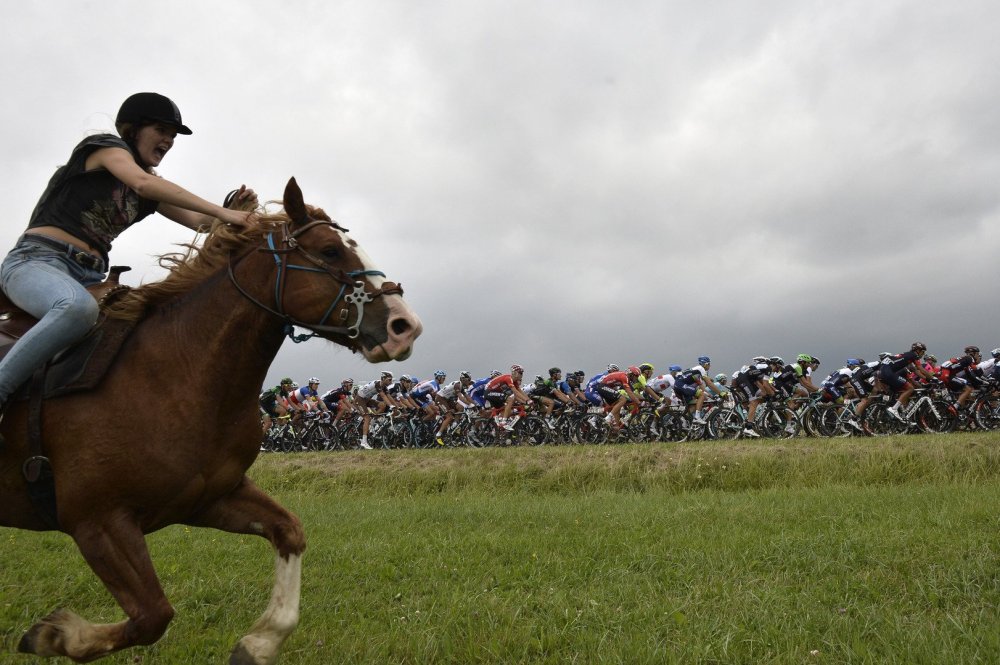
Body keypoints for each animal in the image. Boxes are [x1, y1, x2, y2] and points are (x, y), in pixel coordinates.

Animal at [0, 178, 422, 664]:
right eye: (330, 250)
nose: (405, 326)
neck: (175, 372)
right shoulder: (97, 521)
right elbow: (152, 616)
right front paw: (54, 635)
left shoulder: (209, 497)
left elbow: (290, 532)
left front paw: (258, 643)